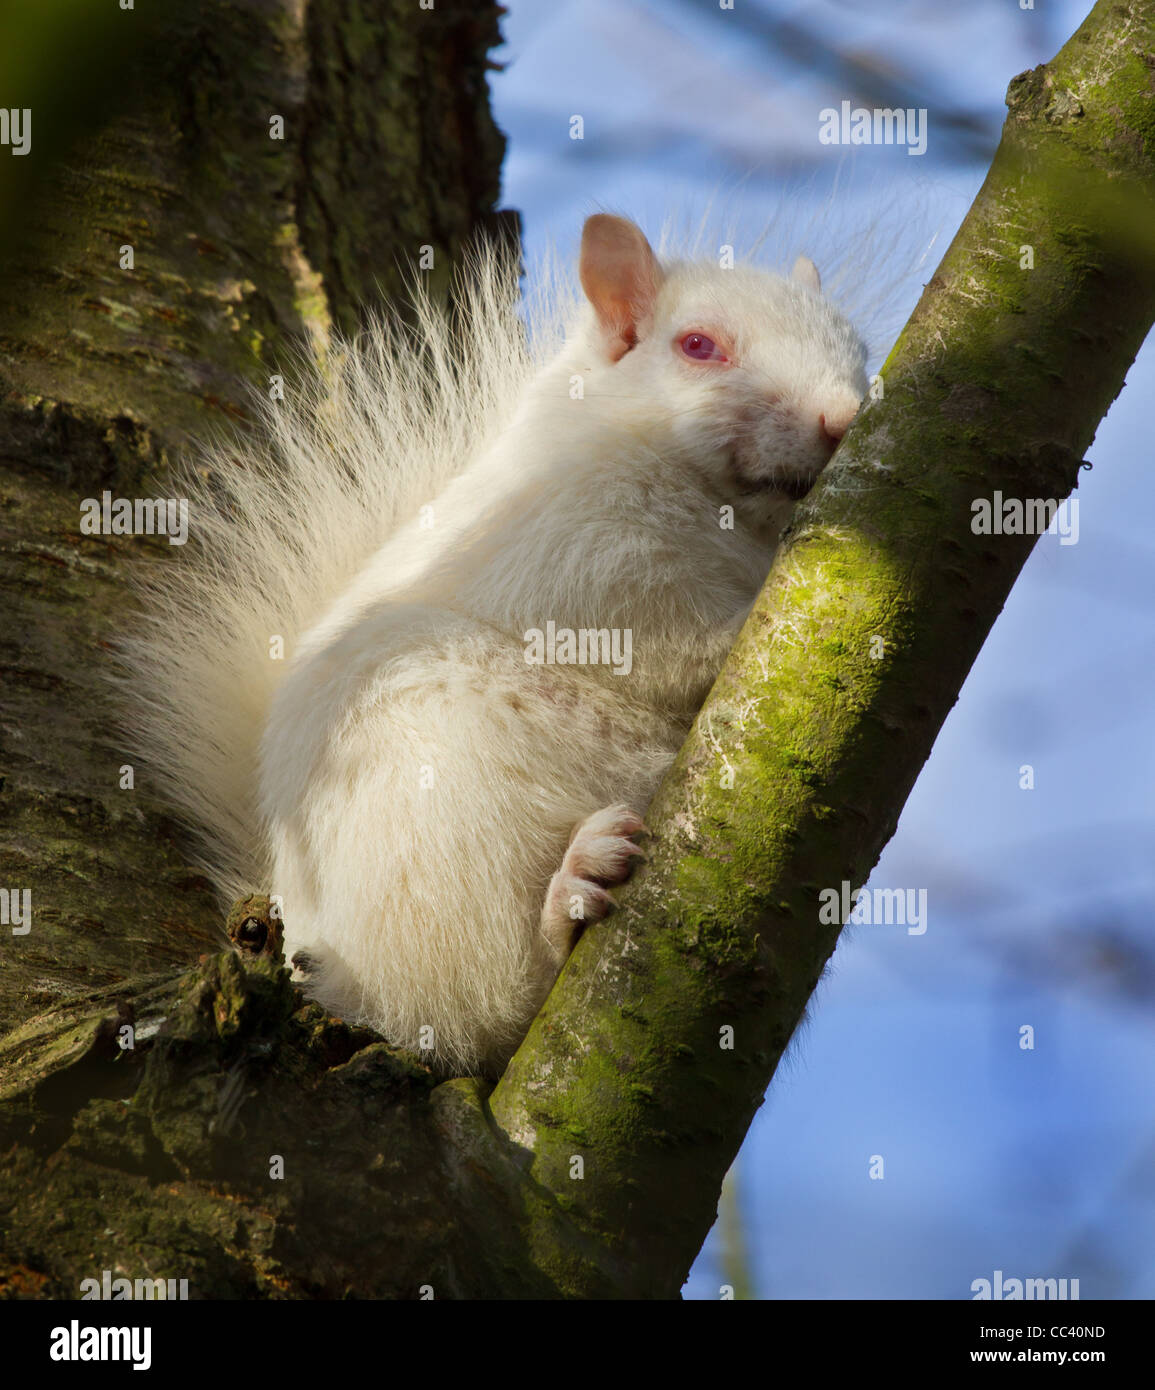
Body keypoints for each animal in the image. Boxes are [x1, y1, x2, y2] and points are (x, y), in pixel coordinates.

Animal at [124, 216, 867, 1078]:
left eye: (858, 347)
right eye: (697, 345)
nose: (844, 417)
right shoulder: (584, 567)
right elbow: (667, 644)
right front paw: (738, 625)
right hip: (438, 823)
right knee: (480, 1012)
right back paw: (567, 902)